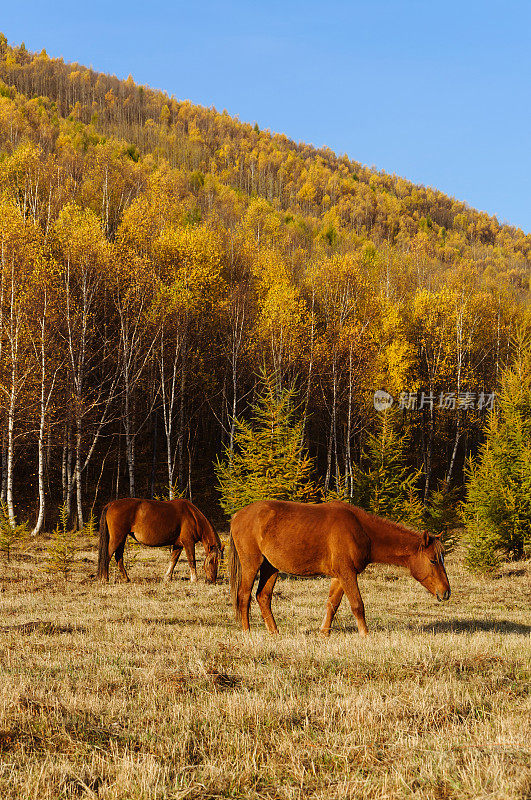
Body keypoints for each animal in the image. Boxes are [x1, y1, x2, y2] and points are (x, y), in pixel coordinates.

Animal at [231, 500, 450, 636]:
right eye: (433, 560)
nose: (446, 592)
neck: (361, 530)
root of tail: (237, 515)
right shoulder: (347, 574)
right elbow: (357, 605)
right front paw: (365, 635)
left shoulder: (339, 576)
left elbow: (332, 605)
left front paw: (324, 633)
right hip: (252, 564)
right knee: (244, 596)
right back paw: (247, 632)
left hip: (271, 568)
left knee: (263, 596)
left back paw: (274, 632)